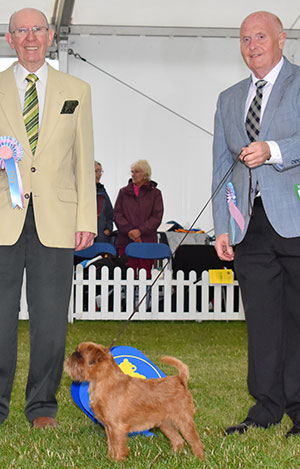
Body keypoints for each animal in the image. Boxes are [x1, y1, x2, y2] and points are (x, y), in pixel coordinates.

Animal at [64, 340, 203, 460]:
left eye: (80, 355)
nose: (72, 354)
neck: (103, 380)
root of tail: (180, 380)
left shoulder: (116, 427)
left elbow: (117, 445)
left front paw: (117, 461)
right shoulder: (108, 427)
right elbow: (111, 444)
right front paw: (110, 458)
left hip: (183, 421)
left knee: (195, 441)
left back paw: (199, 458)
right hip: (166, 424)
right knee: (178, 440)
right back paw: (173, 455)